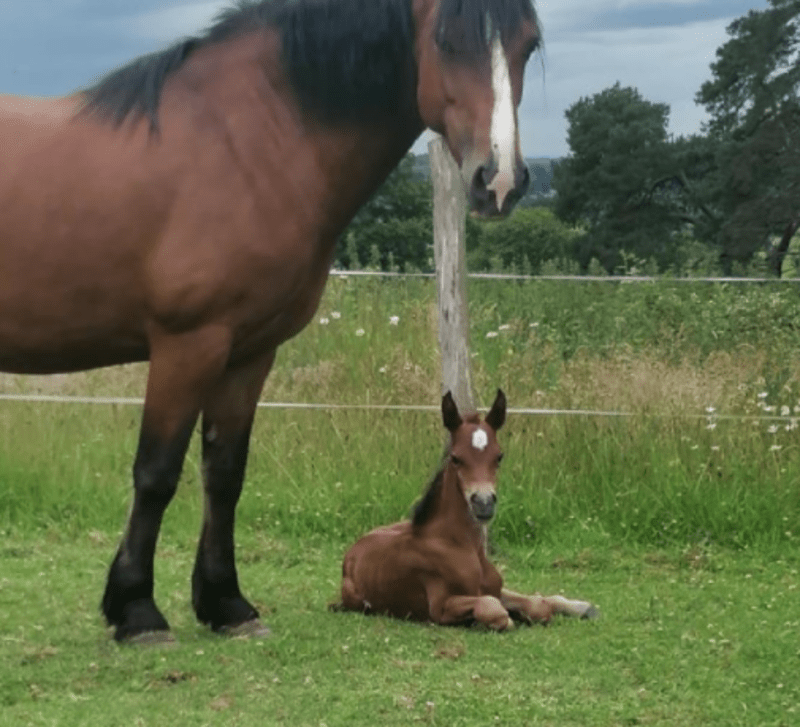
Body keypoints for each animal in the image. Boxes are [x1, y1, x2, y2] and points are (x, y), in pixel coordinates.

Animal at [0, 0, 540, 644]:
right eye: (446, 42)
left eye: (529, 45)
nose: (498, 181)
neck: (245, 143)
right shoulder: (188, 345)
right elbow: (156, 474)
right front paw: (137, 611)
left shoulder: (249, 351)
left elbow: (224, 475)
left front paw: (225, 604)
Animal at [332, 392, 600, 632]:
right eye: (455, 457)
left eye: (499, 456)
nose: (483, 503)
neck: (460, 545)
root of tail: (352, 552)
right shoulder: (440, 607)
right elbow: (492, 607)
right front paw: (494, 619)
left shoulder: (494, 588)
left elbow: (537, 606)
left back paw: (583, 607)